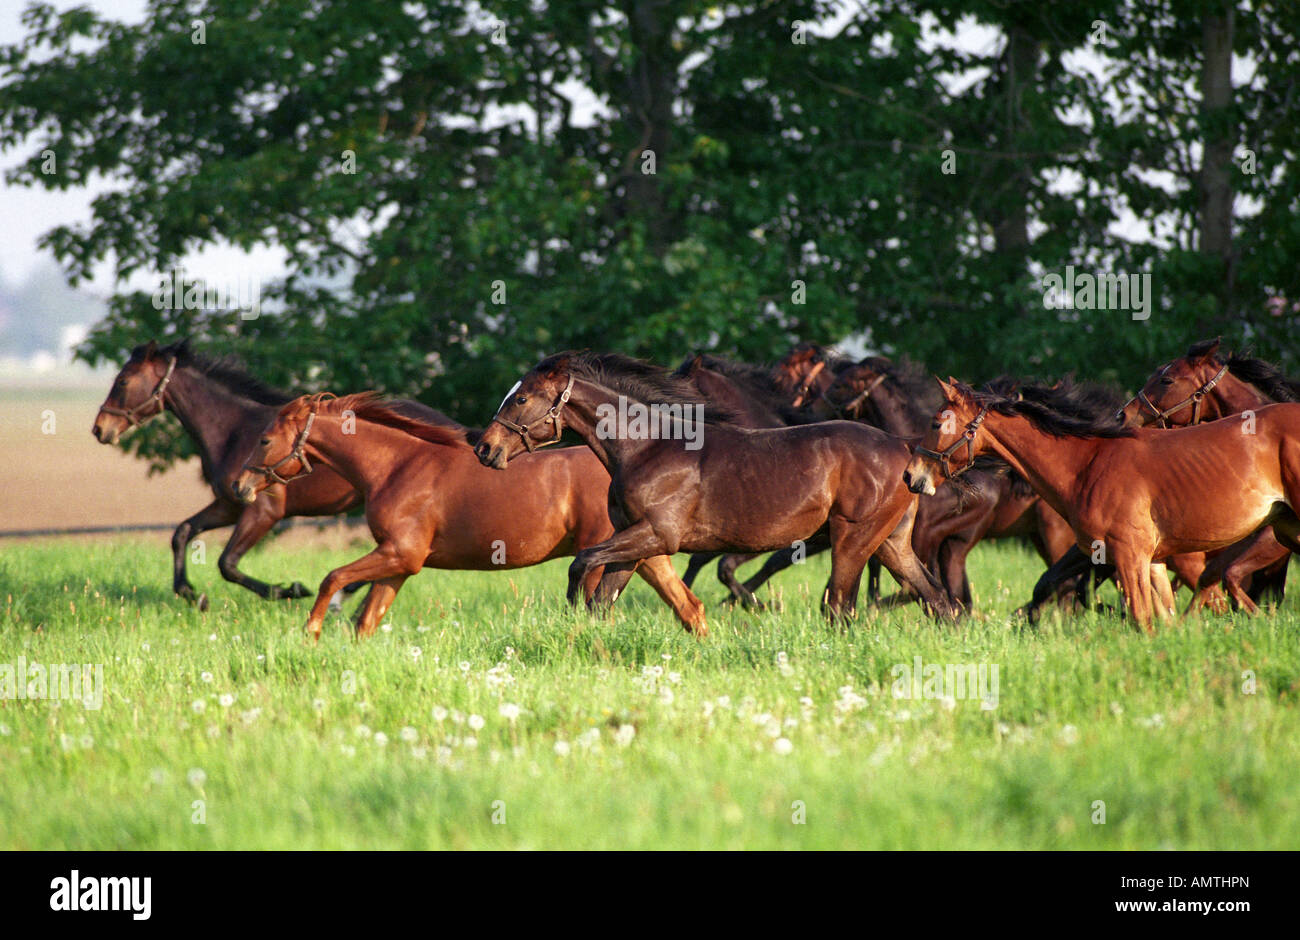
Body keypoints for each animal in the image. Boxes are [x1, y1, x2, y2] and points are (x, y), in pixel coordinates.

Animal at [91, 343, 457, 605]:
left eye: (122, 381)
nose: (99, 429)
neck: (235, 430)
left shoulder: (264, 510)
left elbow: (227, 564)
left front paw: (290, 590)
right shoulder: (230, 504)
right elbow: (182, 532)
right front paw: (192, 595)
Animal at [231, 390, 702, 639]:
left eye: (265, 440)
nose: (240, 486)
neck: (396, 466)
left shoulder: (401, 554)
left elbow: (332, 579)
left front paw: (309, 634)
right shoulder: (398, 564)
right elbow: (367, 620)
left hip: (601, 556)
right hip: (643, 554)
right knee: (690, 608)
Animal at [470, 353, 956, 624]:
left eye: (521, 398)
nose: (485, 448)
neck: (647, 446)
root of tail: (904, 446)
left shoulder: (657, 535)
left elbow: (581, 565)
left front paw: (569, 612)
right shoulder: (633, 541)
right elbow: (603, 600)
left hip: (853, 539)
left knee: (841, 607)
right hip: (890, 542)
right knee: (938, 601)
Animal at [904, 379, 1300, 631]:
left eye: (936, 422)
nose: (911, 475)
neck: (1087, 463)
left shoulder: (1130, 556)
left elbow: (1141, 619)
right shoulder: (1150, 563)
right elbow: (1160, 618)